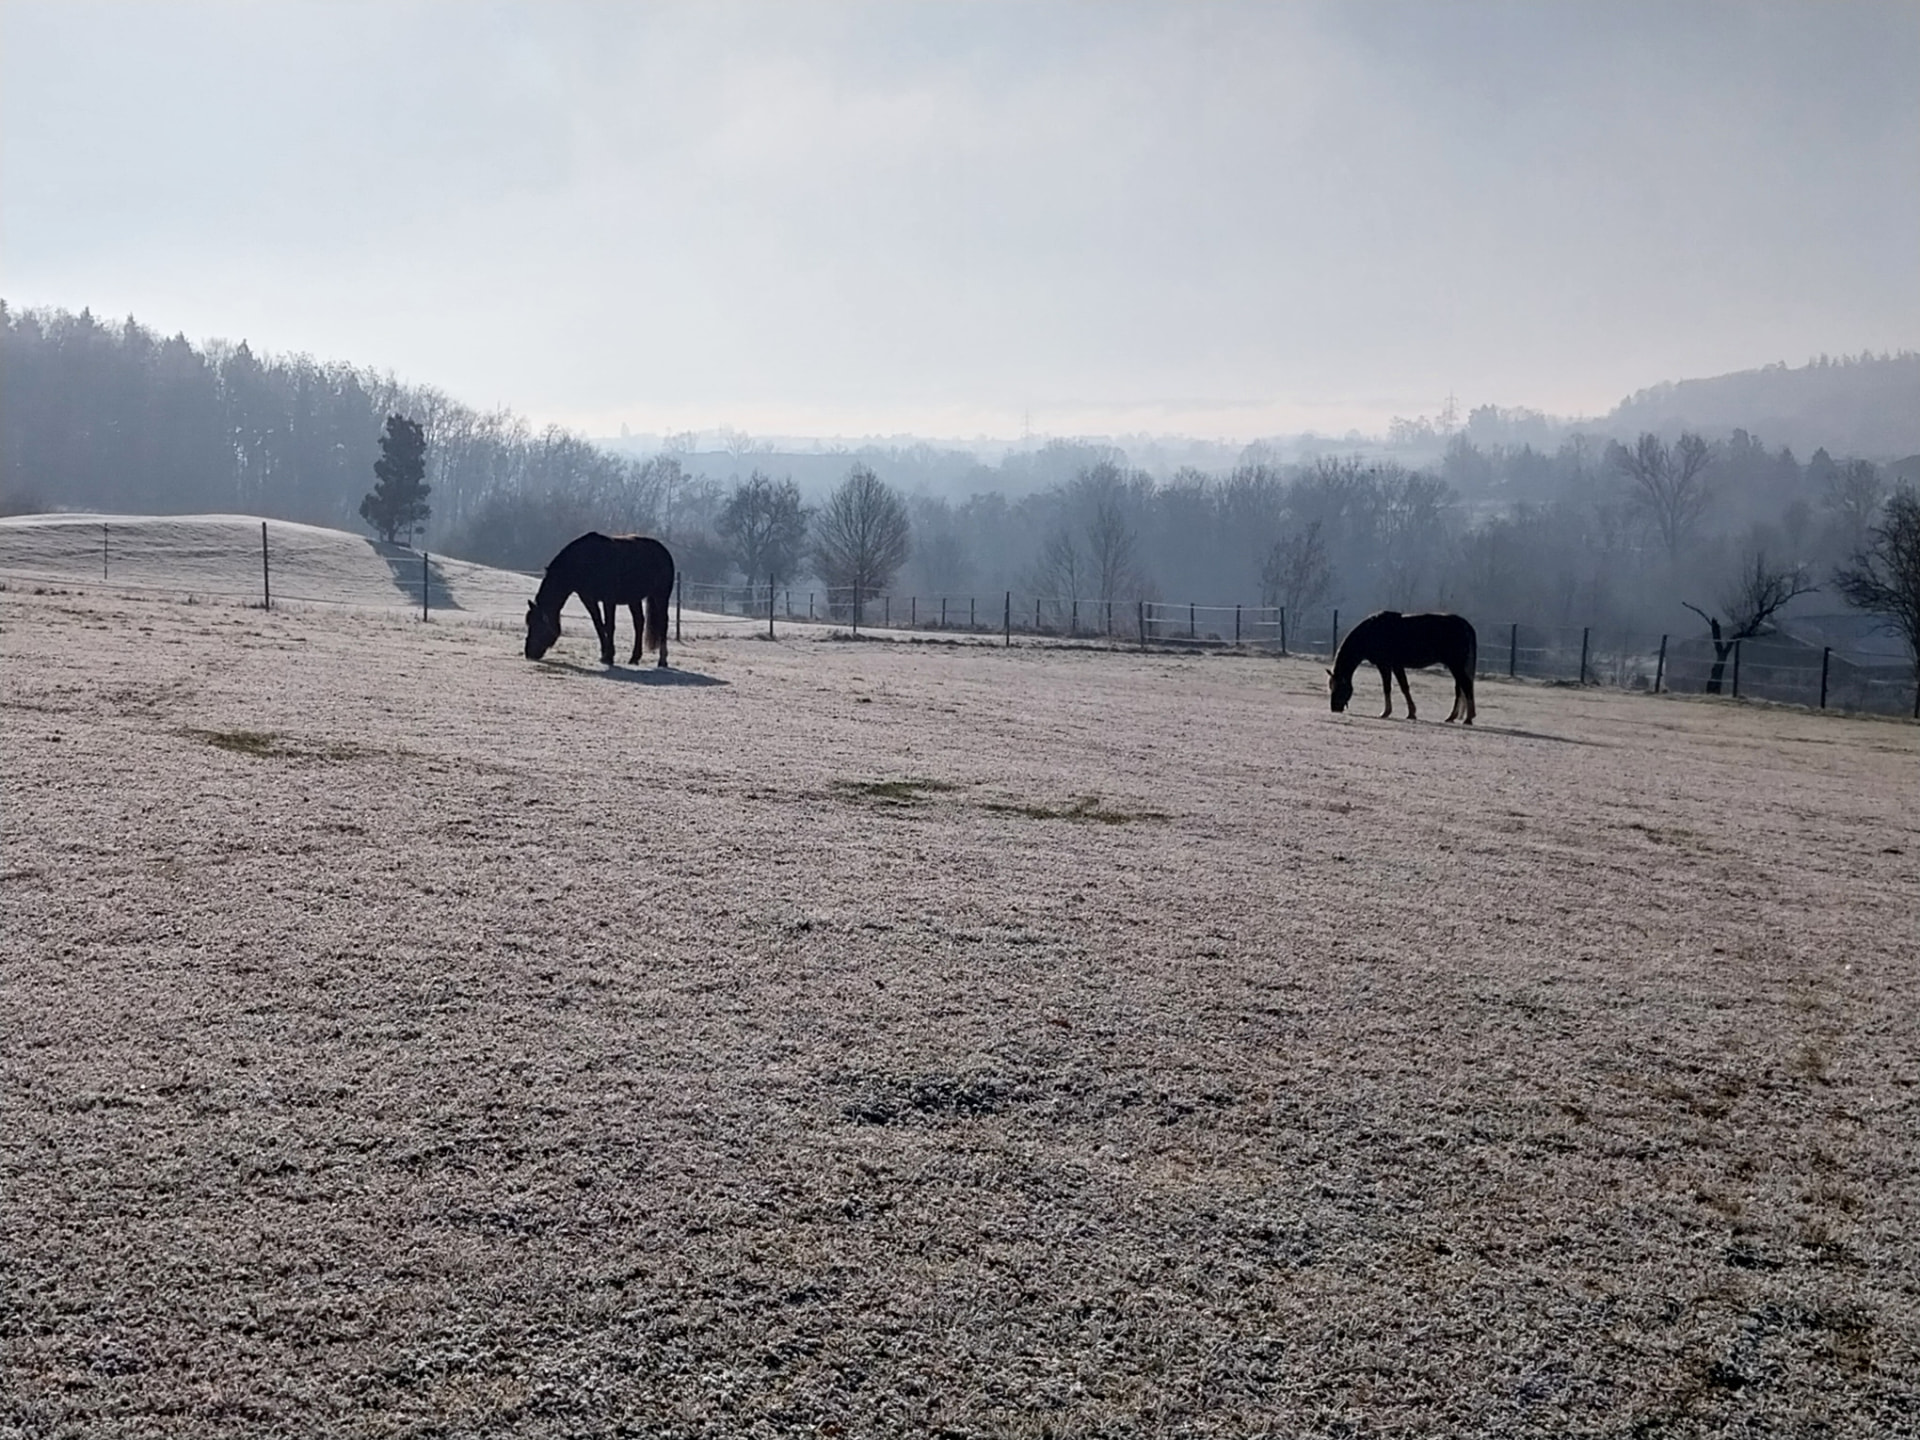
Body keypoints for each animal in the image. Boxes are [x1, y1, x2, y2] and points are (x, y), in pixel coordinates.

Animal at [525, 532, 675, 668]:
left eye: (538, 625)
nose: (529, 653)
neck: (584, 562)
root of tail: (664, 552)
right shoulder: (588, 599)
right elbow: (598, 624)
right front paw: (604, 655)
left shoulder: (609, 600)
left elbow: (609, 625)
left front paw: (609, 656)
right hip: (634, 599)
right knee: (639, 623)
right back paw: (634, 658)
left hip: (660, 596)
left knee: (663, 623)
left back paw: (662, 661)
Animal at [1328, 611, 1477, 723]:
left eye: (1339, 687)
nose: (1334, 708)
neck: (1371, 632)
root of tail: (1464, 623)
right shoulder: (1396, 666)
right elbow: (1404, 687)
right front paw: (1411, 713)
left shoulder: (1385, 665)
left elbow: (1388, 687)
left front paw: (1386, 712)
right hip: (1455, 666)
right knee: (1460, 688)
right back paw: (1452, 717)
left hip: (1455, 665)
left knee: (1466, 686)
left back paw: (1468, 718)